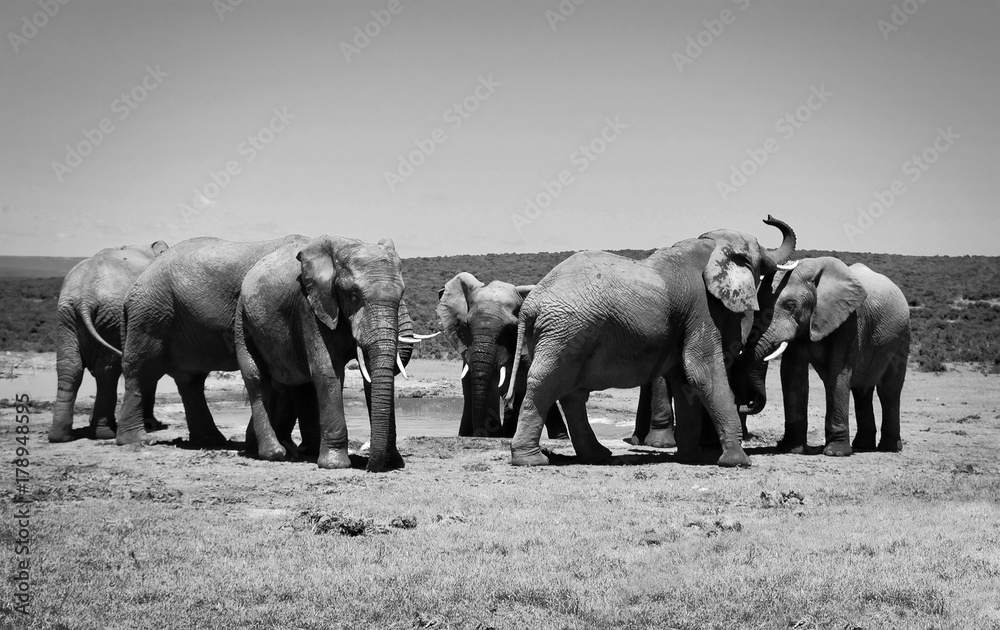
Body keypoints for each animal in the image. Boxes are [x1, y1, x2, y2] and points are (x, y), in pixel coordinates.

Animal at [47, 242, 169, 444]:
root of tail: (85, 297)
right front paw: (152, 425)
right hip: (109, 317)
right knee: (108, 369)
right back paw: (105, 433)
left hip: (68, 316)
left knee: (71, 367)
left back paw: (60, 436)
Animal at [236, 237, 416, 474]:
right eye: (354, 296)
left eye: (402, 295)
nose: (370, 466)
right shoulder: (311, 305)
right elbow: (327, 369)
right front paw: (335, 465)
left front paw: (392, 462)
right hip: (241, 319)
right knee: (256, 379)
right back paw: (274, 454)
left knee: (295, 383)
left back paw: (307, 451)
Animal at [508, 217, 796, 470]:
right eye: (758, 252)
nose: (768, 217)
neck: (709, 245)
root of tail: (530, 304)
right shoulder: (702, 309)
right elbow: (702, 370)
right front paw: (738, 461)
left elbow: (684, 380)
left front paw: (691, 458)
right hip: (564, 330)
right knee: (547, 383)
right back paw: (531, 460)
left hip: (561, 333)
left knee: (572, 393)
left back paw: (598, 455)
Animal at [732, 256, 912, 460]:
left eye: (791, 306)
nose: (745, 403)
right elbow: (792, 375)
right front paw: (792, 449)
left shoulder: (849, 321)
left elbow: (837, 374)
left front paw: (836, 452)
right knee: (861, 391)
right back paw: (863, 445)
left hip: (902, 338)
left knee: (889, 391)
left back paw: (889, 447)